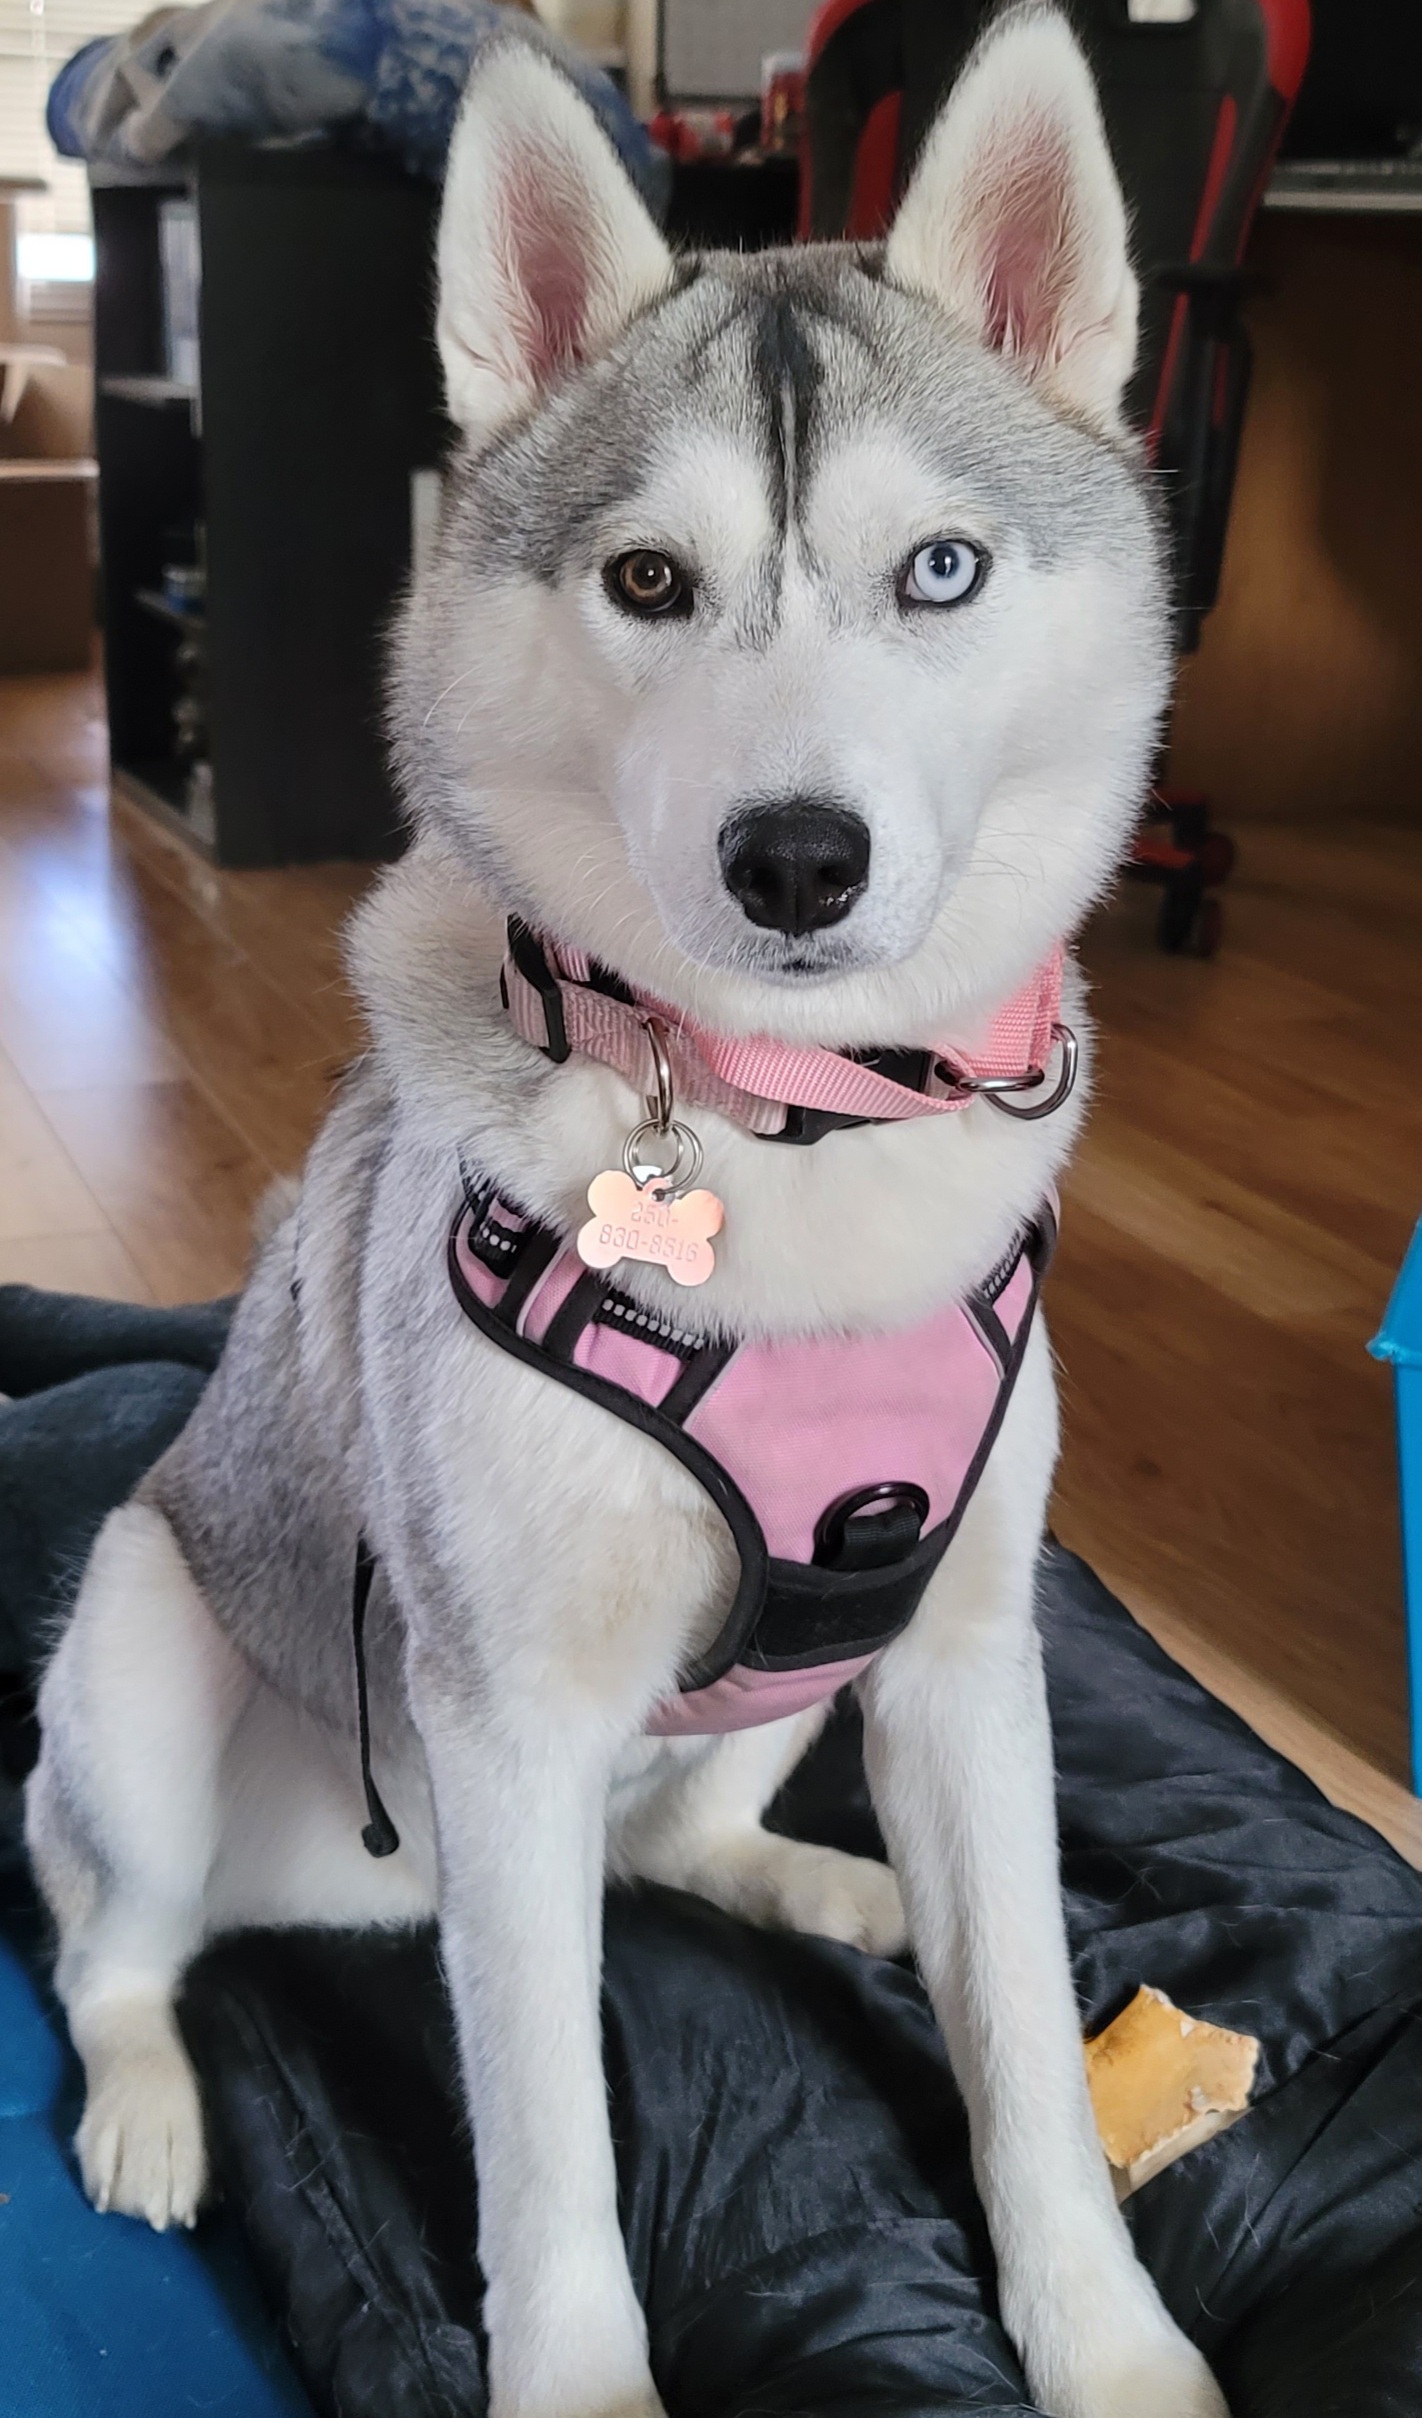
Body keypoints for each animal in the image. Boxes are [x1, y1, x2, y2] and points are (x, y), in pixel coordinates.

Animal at [25, 10, 1231, 2415]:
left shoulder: (960, 1657)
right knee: (115, 1936)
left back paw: (838, 1894)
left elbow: (1031, 2071)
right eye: (650, 583)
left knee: (681, 1841)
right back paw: (149, 2101)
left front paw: (1108, 2344)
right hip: (142, 1642)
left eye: (939, 573)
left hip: (795, 1677)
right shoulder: (504, 1730)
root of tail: (348, 1895)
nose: (797, 859)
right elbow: (553, 2162)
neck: (790, 1139)